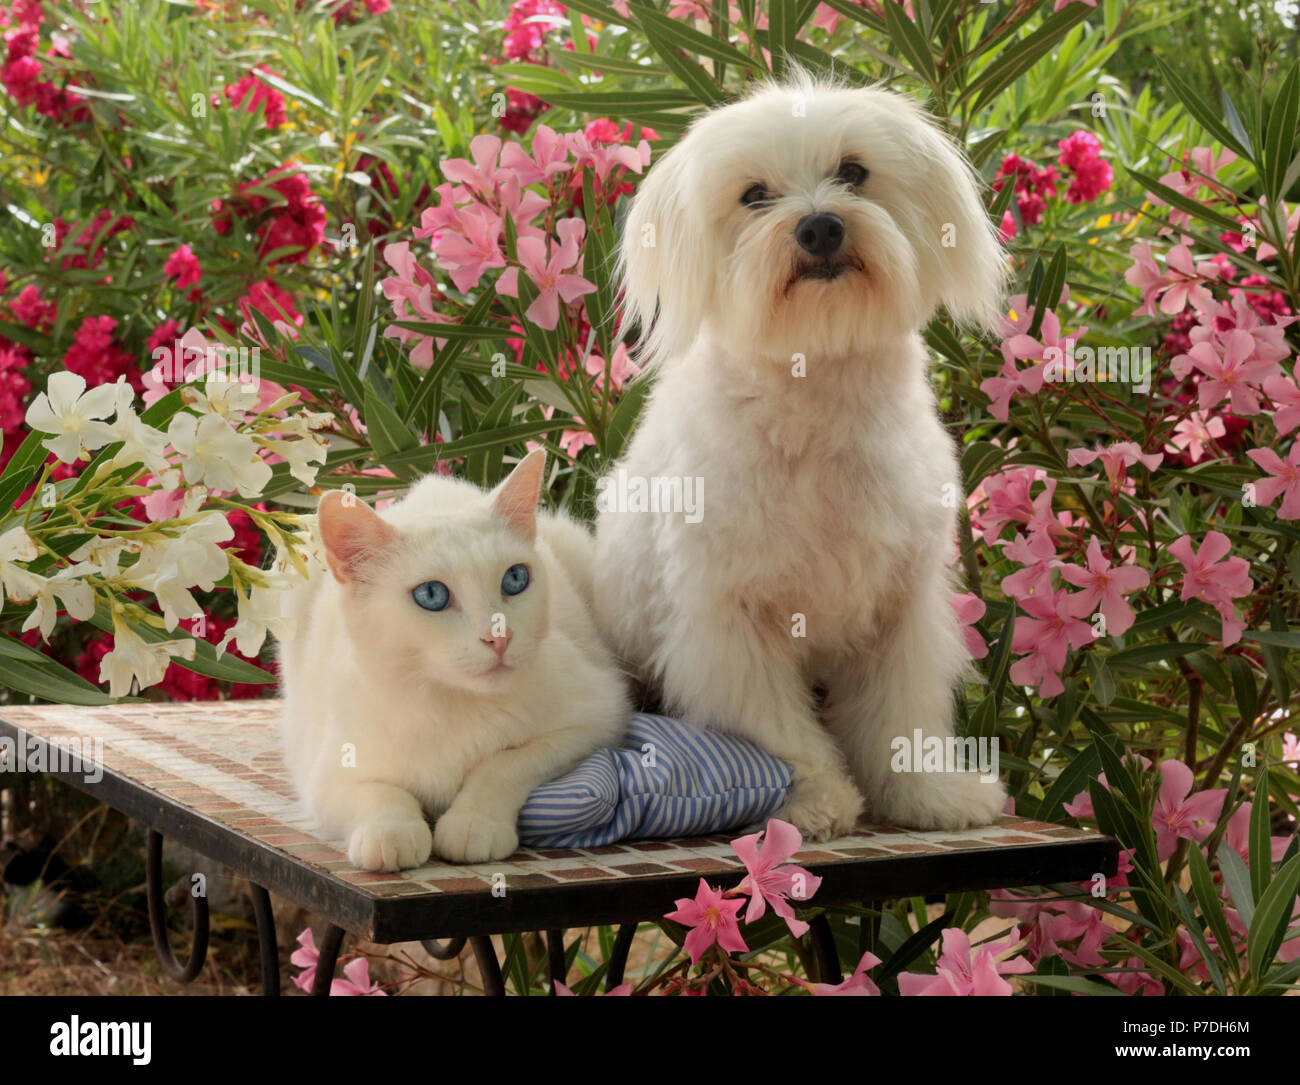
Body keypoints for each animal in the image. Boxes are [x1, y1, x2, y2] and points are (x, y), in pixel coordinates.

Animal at [278, 452, 629, 873]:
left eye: (515, 578)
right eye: (431, 594)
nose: (499, 636)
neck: (451, 703)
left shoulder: (595, 719)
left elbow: (505, 763)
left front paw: (473, 823)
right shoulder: (324, 775)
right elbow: (378, 793)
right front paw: (391, 831)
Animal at [595, 76, 1008, 842]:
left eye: (854, 171)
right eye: (754, 194)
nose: (820, 227)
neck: (815, 387)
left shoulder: (902, 610)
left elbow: (899, 714)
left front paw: (930, 795)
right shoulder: (729, 618)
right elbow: (775, 726)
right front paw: (813, 802)